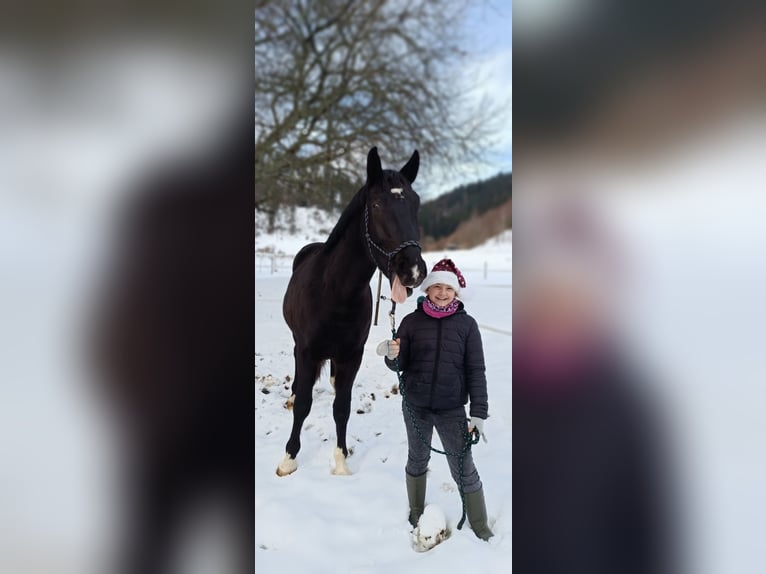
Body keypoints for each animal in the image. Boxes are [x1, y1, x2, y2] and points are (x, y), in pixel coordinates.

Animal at [277, 147, 427, 476]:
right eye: (377, 204)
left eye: (416, 203)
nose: (412, 270)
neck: (334, 292)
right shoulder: (307, 351)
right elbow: (304, 403)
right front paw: (289, 458)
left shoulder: (351, 355)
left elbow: (342, 407)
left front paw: (341, 460)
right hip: (298, 344)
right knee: (299, 384)